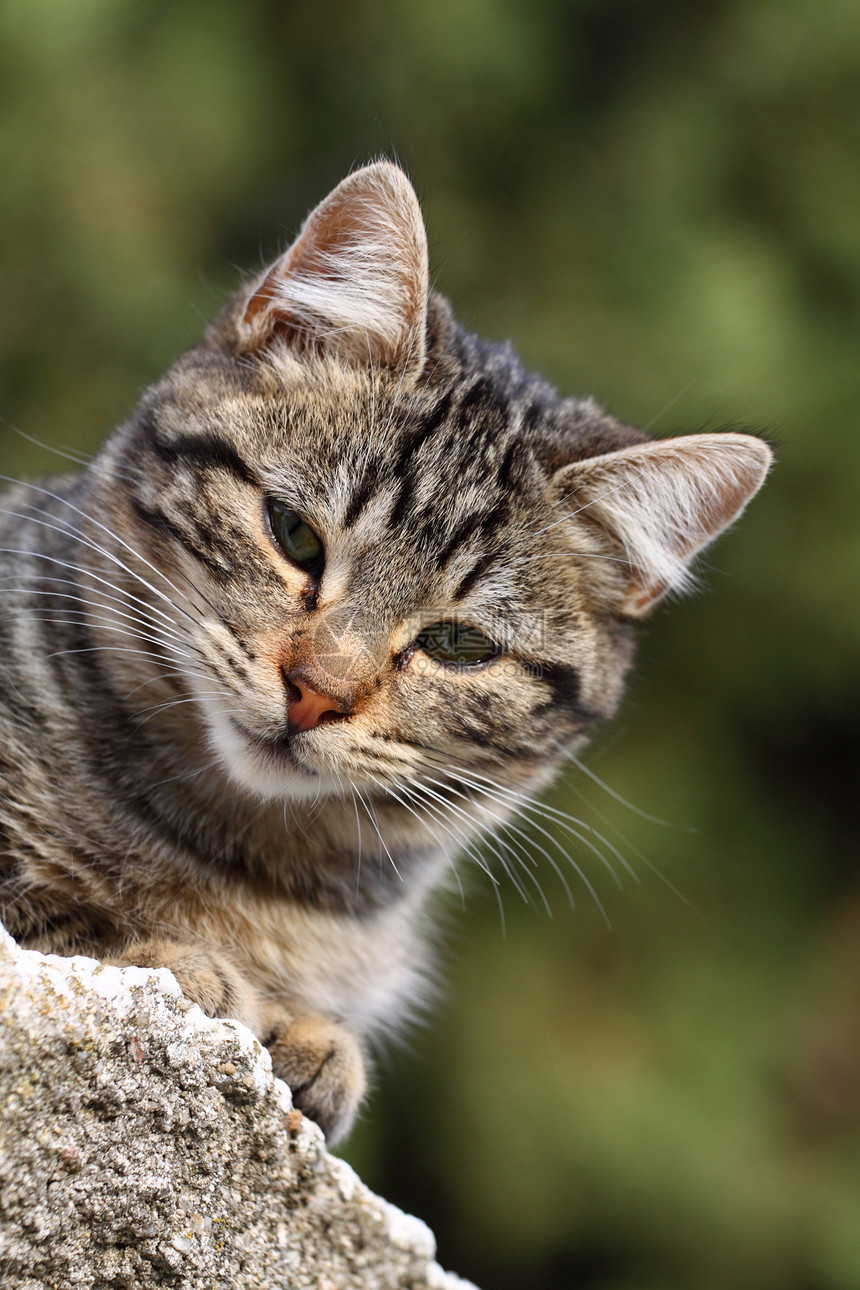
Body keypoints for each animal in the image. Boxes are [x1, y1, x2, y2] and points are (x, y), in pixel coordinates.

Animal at [0, 161, 768, 1140]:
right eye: (295, 536)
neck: (240, 866)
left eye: (459, 645)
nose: (315, 692)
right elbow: (49, 902)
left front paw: (313, 1039)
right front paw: (174, 957)